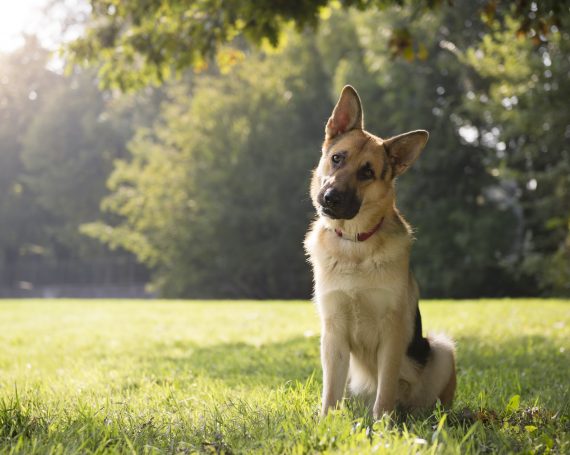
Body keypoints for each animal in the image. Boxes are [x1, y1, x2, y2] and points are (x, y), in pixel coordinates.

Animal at [304, 85, 454, 420]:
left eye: (367, 173)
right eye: (337, 158)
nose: (330, 198)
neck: (354, 244)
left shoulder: (392, 333)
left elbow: (385, 388)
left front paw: (383, 424)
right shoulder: (333, 334)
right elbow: (330, 392)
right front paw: (325, 422)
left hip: (442, 349)